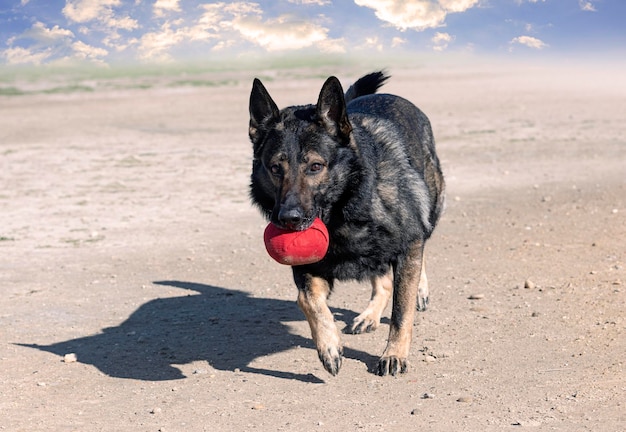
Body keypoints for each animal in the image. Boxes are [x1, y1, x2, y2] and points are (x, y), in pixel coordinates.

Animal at [246, 71, 442, 374]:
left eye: (315, 166)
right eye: (275, 168)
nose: (290, 219)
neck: (343, 209)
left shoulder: (408, 244)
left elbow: (402, 309)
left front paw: (394, 353)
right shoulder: (308, 268)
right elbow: (307, 299)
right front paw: (329, 346)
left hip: (431, 207)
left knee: (421, 246)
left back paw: (418, 290)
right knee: (383, 280)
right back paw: (369, 315)